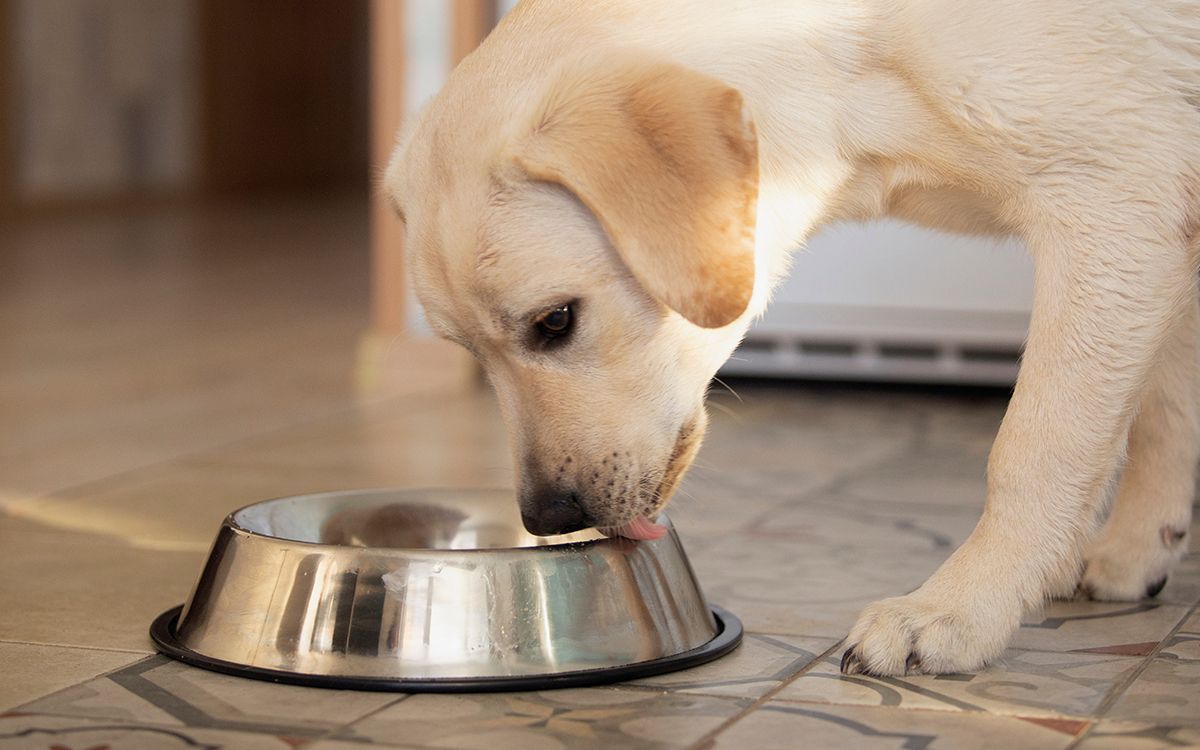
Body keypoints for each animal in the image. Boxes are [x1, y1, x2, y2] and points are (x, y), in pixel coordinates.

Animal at [384, 0, 1200, 676]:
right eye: (469, 353)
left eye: (555, 321)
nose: (548, 520)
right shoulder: (1169, 234)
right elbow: (1166, 414)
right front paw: (1139, 549)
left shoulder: (1110, 203)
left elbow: (1033, 452)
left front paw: (959, 611)